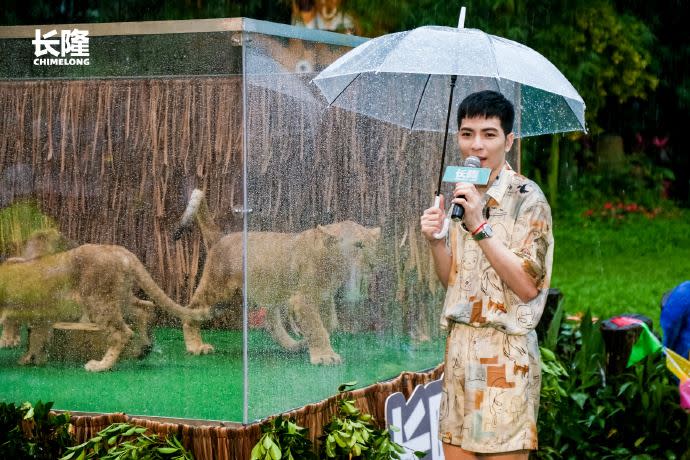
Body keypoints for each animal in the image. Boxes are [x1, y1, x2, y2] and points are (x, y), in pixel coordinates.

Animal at [0, 237, 210, 370]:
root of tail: (120, 251)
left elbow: (33, 336)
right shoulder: (42, 317)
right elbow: (37, 338)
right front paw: (30, 359)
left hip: (98, 301)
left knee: (122, 333)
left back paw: (101, 366)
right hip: (120, 297)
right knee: (144, 308)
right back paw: (143, 349)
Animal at [175, 189, 378, 364]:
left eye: (373, 244)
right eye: (358, 245)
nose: (373, 264)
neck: (333, 267)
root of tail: (220, 238)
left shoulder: (325, 296)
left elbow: (329, 323)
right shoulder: (303, 299)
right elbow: (316, 327)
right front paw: (325, 357)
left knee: (271, 321)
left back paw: (289, 344)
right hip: (217, 290)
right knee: (190, 313)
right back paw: (196, 347)